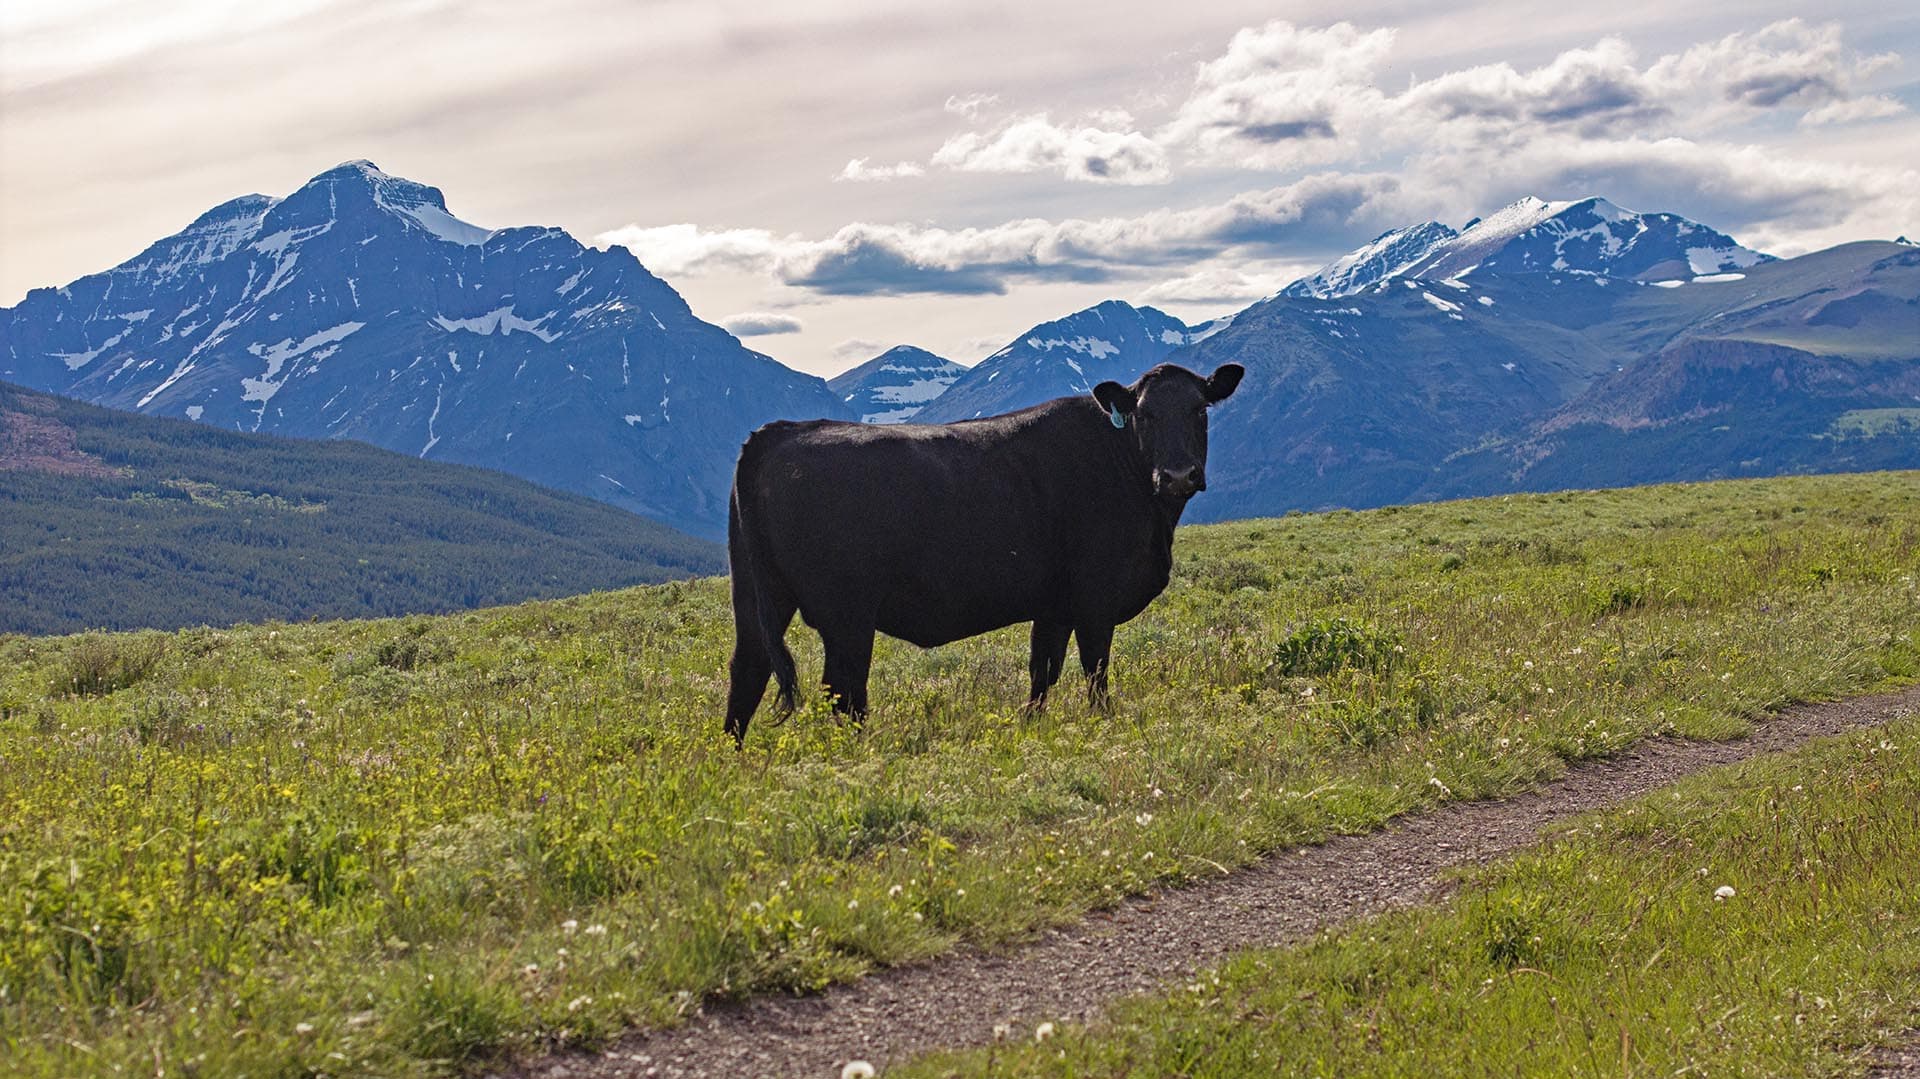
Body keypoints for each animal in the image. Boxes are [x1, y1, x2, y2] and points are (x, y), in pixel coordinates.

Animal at [723, 361, 1244, 746]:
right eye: (1144, 414)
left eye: (1200, 410)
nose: (1177, 475)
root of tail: (779, 432)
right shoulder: (1096, 597)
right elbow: (1094, 670)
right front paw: (1102, 724)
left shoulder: (1054, 606)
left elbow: (1043, 672)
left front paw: (1031, 726)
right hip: (846, 614)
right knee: (843, 688)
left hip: (755, 597)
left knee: (749, 671)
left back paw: (734, 757)